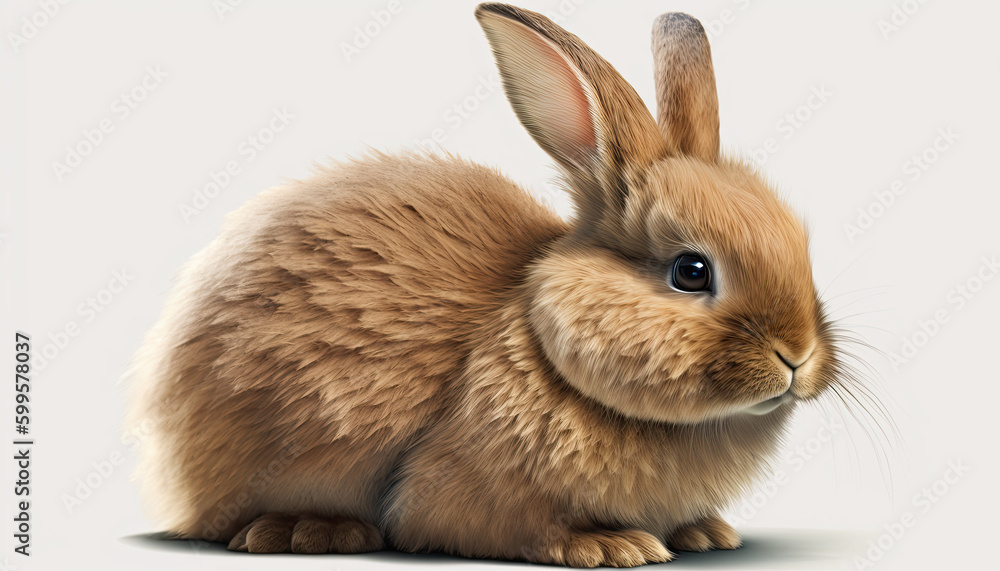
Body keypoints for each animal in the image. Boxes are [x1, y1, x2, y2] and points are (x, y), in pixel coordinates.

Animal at [128, 3, 843, 567]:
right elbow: (498, 525)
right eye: (691, 271)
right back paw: (311, 530)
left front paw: (705, 533)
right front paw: (611, 546)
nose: (798, 355)